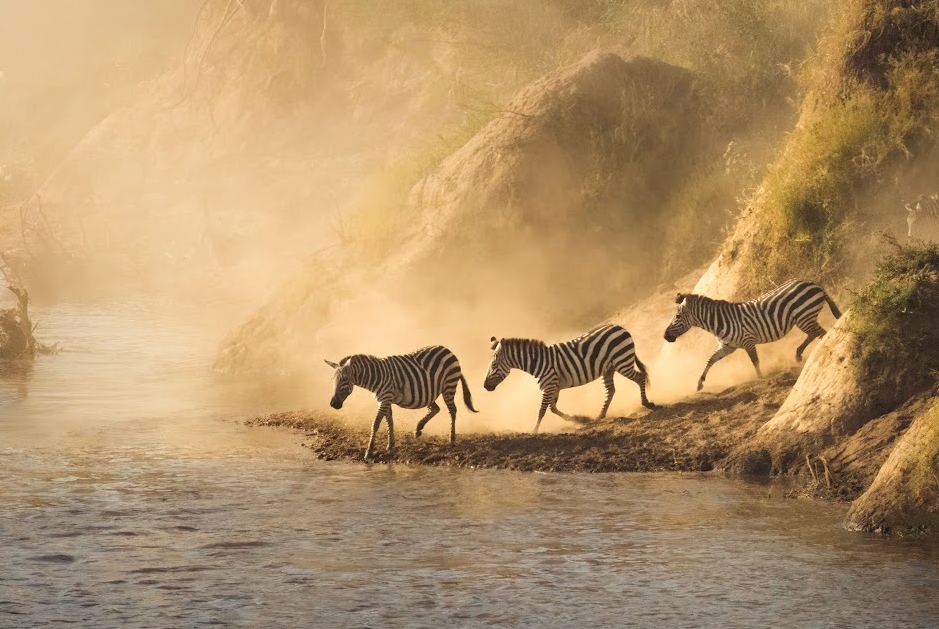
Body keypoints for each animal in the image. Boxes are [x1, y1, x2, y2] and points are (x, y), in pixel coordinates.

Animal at [325, 345, 477, 460]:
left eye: (344, 380)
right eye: (333, 381)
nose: (333, 404)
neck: (375, 377)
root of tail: (448, 350)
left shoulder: (385, 398)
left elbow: (376, 424)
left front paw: (369, 451)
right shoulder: (385, 399)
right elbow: (389, 421)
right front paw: (390, 444)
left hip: (449, 386)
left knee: (452, 410)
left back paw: (452, 439)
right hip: (429, 393)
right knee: (435, 409)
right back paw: (418, 429)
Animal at [483, 324, 655, 434]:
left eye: (493, 365)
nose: (485, 386)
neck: (538, 362)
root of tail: (619, 327)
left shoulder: (549, 385)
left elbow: (542, 410)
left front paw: (534, 430)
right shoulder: (554, 387)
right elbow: (552, 408)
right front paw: (579, 419)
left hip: (622, 362)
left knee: (640, 378)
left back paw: (647, 403)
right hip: (609, 368)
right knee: (611, 390)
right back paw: (600, 415)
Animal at [663, 279, 842, 391]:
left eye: (677, 317)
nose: (665, 336)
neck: (720, 322)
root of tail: (812, 283)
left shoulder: (748, 341)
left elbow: (755, 361)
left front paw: (761, 378)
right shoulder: (727, 347)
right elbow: (710, 360)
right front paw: (699, 383)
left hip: (805, 316)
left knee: (821, 333)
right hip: (805, 318)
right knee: (815, 334)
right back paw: (799, 354)